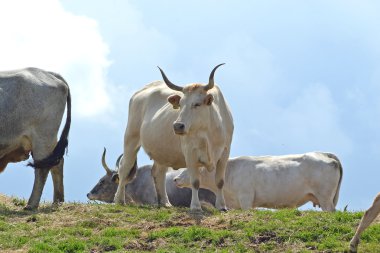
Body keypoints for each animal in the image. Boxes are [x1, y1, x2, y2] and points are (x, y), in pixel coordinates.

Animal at [0, 67, 71, 210]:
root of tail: (48, 73)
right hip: (49, 139)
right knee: (57, 163)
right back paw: (57, 201)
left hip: (42, 137)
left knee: (42, 169)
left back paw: (31, 204)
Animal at [113, 63, 233, 211]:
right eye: (180, 104)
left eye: (197, 104)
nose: (178, 126)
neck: (208, 133)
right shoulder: (190, 152)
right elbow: (195, 181)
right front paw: (195, 206)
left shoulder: (225, 152)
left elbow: (220, 181)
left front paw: (222, 206)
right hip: (131, 137)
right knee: (125, 167)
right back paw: (119, 199)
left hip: (162, 150)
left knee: (158, 172)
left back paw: (165, 202)